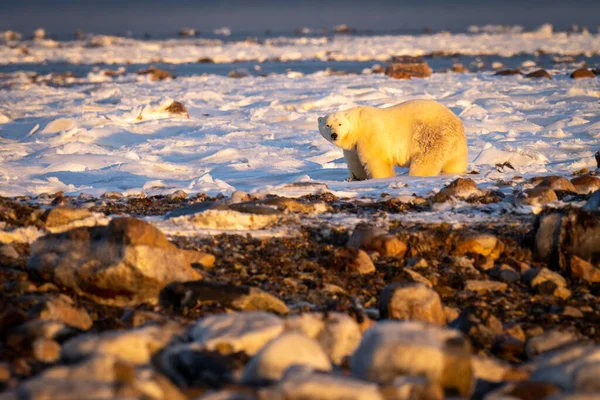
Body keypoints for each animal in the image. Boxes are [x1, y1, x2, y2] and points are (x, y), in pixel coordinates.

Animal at [316, 100, 466, 180]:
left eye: (340, 124)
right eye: (327, 125)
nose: (334, 135)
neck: (359, 124)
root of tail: (456, 121)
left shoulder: (370, 134)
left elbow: (375, 160)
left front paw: (381, 178)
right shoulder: (353, 147)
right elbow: (355, 162)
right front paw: (356, 178)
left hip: (430, 136)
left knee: (425, 161)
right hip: (456, 146)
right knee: (454, 162)